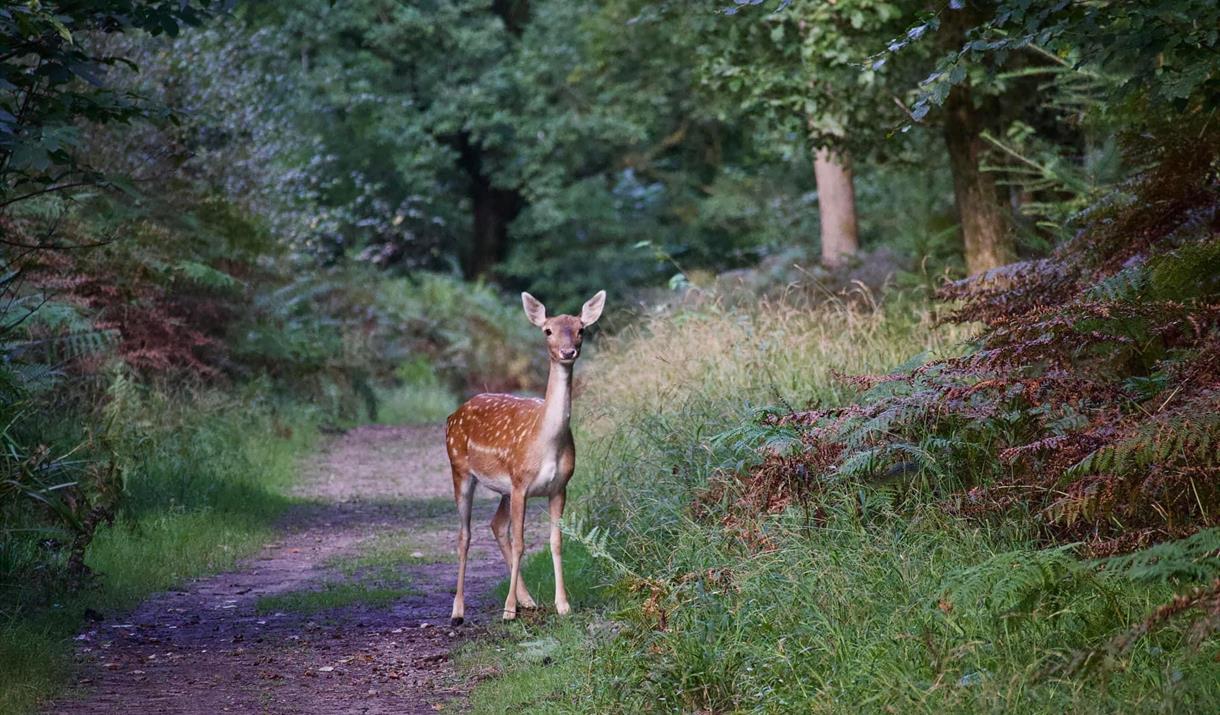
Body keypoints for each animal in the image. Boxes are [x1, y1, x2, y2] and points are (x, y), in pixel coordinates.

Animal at [444, 286, 605, 619]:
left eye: (581, 329)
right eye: (548, 330)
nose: (567, 352)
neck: (546, 443)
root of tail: (452, 415)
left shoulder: (559, 487)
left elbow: (556, 542)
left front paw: (563, 604)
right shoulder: (521, 484)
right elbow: (520, 543)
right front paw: (508, 610)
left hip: (504, 488)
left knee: (495, 525)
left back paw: (528, 599)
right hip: (460, 468)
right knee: (464, 535)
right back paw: (458, 611)